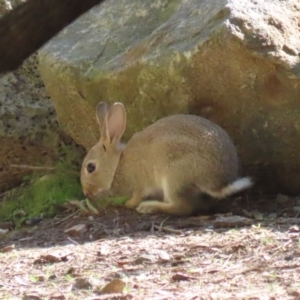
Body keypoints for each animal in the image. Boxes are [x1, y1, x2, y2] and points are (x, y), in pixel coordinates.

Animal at [81, 102, 252, 217]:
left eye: (91, 167)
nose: (86, 193)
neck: (117, 165)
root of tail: (218, 182)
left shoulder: (140, 184)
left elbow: (138, 194)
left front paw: (129, 204)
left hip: (173, 176)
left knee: (182, 207)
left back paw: (148, 207)